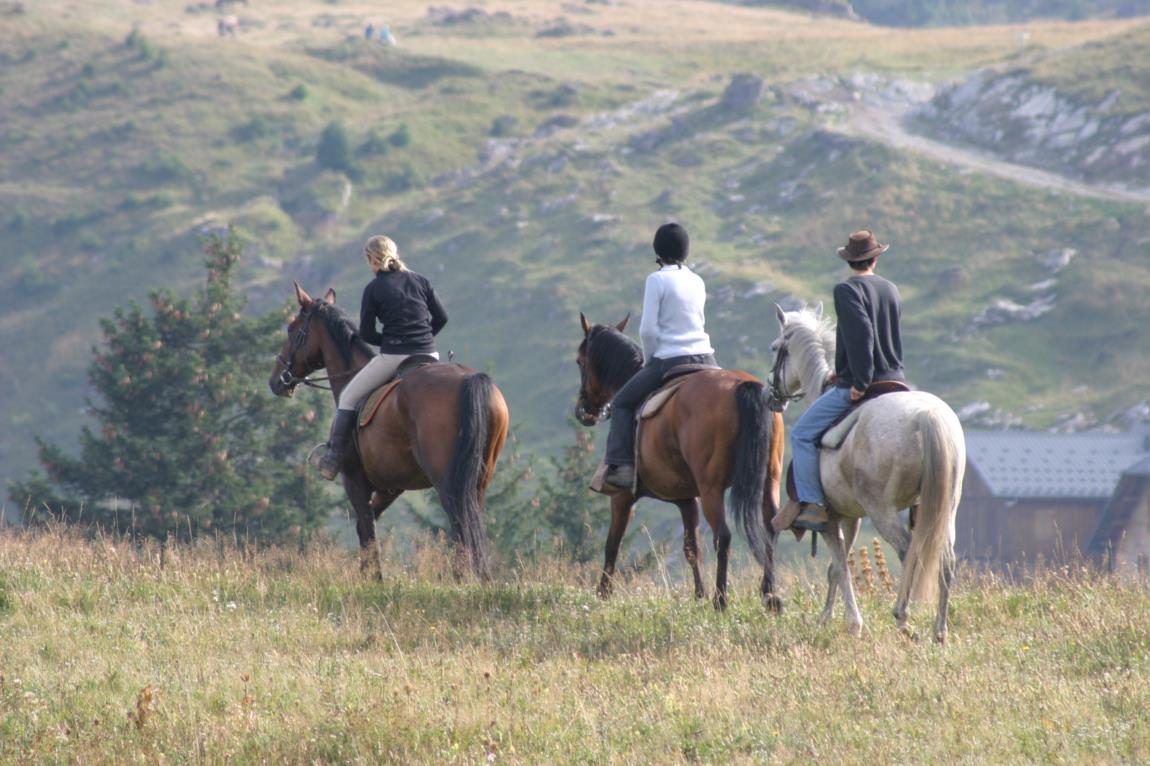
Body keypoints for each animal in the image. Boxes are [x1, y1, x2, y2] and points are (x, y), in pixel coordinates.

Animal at [269, 285, 508, 579]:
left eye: (292, 329)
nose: (276, 380)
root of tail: (469, 378)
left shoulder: (355, 480)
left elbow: (366, 530)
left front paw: (372, 580)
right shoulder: (391, 487)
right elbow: (368, 526)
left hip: (447, 481)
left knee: (460, 524)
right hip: (477, 480)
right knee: (471, 523)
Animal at [575, 310, 791, 607]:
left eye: (580, 361)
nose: (584, 411)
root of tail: (742, 385)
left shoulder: (622, 497)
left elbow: (612, 544)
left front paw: (603, 594)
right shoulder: (688, 500)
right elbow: (691, 548)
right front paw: (698, 595)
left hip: (712, 488)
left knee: (723, 537)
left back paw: (721, 599)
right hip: (769, 480)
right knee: (770, 529)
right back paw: (769, 595)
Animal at [768, 301, 966, 639]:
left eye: (775, 348)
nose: (771, 395)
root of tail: (926, 416)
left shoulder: (829, 520)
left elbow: (840, 566)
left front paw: (852, 623)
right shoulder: (850, 517)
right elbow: (836, 568)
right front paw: (827, 617)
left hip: (882, 510)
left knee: (908, 551)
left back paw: (903, 617)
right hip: (946, 509)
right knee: (946, 560)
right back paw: (939, 631)